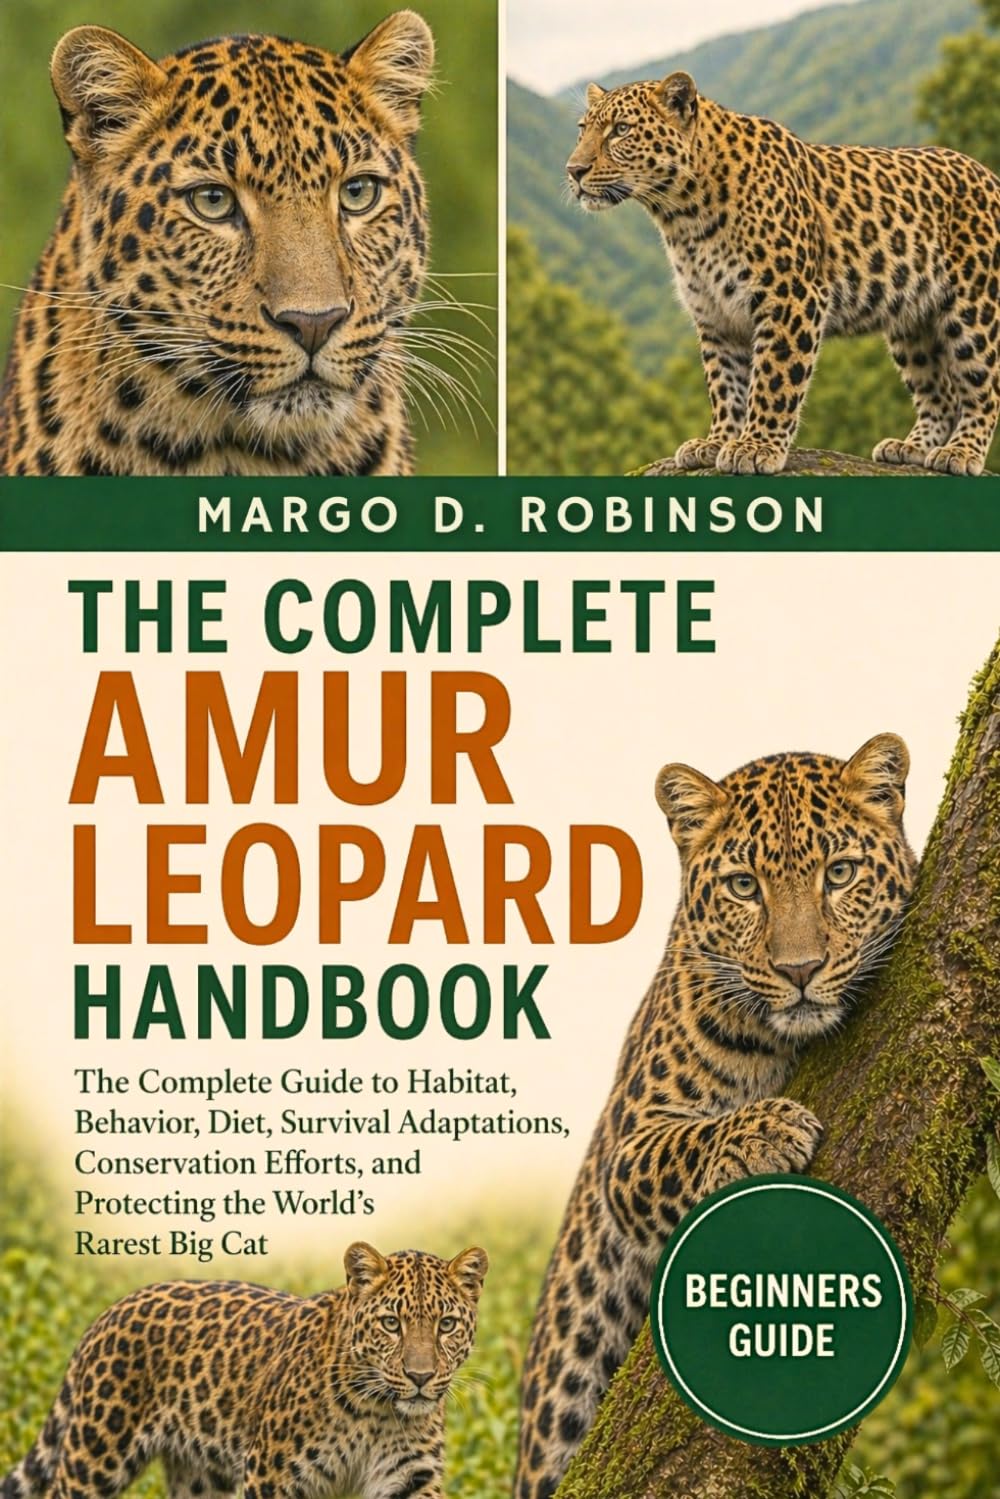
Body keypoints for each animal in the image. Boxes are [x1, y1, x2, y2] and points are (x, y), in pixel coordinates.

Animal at [2, 1241, 488, 1499]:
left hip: (200, 1477)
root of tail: (110, 1311)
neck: (377, 1414)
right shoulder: (274, 1476)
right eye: (391, 1323)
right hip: (95, 1456)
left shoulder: (409, 1476)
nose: (420, 1377)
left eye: (446, 1325)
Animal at [515, 735, 915, 1499]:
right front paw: (766, 1129)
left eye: (840, 873)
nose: (800, 970)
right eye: (743, 887)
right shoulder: (630, 1146)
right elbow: (687, 1143)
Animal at [566, 72, 1000, 476]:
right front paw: (717, 441)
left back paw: (960, 453)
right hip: (913, 322)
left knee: (983, 388)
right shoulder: (715, 313)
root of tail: (989, 174)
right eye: (582, 129)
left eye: (621, 130)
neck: (683, 215)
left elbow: (773, 378)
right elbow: (725, 384)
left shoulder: (790, 297)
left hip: (976, 310)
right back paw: (912, 447)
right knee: (938, 392)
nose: (574, 170)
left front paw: (756, 446)